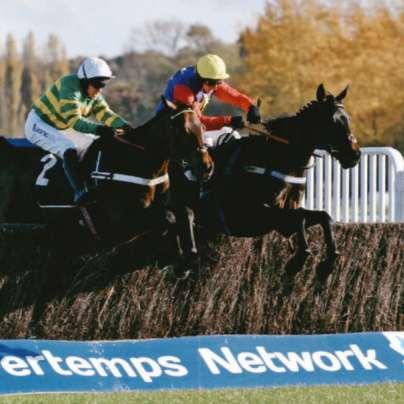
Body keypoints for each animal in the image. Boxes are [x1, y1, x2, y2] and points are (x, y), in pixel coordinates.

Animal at [171, 84, 361, 277]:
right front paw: (297, 261)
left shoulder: (286, 213)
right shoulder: (253, 214)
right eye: (332, 122)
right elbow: (300, 218)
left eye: (347, 119)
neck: (276, 158)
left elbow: (323, 216)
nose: (354, 155)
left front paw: (327, 264)